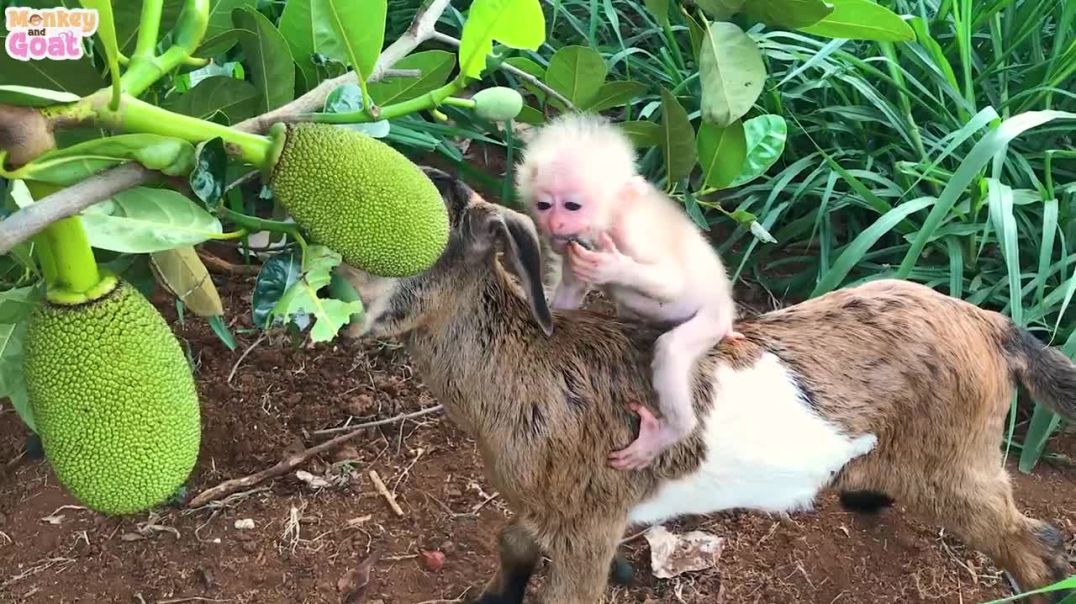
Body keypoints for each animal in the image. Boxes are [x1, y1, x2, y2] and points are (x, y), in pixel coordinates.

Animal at [339, 167, 1076, 604]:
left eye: (414, 236)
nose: (341, 310)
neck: (531, 367)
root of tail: (991, 324)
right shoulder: (554, 504)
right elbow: (512, 543)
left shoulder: (589, 516)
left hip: (960, 464)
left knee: (1032, 544)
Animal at [515, 112, 743, 470]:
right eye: (544, 205)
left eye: (572, 205)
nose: (555, 224)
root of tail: (727, 309)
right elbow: (568, 299)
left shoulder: (632, 234)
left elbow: (673, 283)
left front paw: (612, 267)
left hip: (712, 320)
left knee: (672, 350)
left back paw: (673, 431)